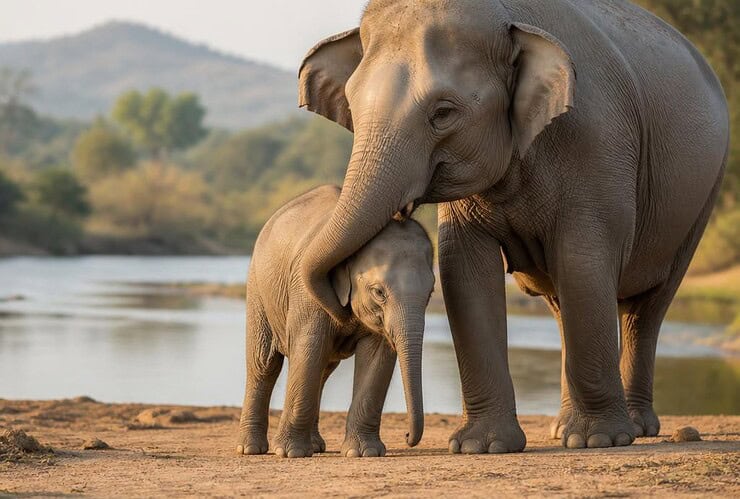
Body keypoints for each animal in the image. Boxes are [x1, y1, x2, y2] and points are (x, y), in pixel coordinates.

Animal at [236, 185, 435, 458]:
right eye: (379, 292)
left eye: (431, 293)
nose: (406, 437)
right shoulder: (305, 295)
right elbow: (308, 348)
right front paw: (290, 453)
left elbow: (377, 356)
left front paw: (364, 453)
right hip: (258, 289)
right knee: (264, 364)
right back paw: (251, 448)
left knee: (322, 368)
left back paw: (315, 446)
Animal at [297, 0, 729, 452]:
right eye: (351, 106)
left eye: (443, 113)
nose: (408, 438)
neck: (503, 15)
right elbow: (464, 269)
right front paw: (481, 446)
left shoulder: (598, 145)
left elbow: (582, 262)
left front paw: (598, 440)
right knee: (562, 304)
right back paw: (562, 428)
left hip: (702, 195)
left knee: (646, 307)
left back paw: (632, 429)